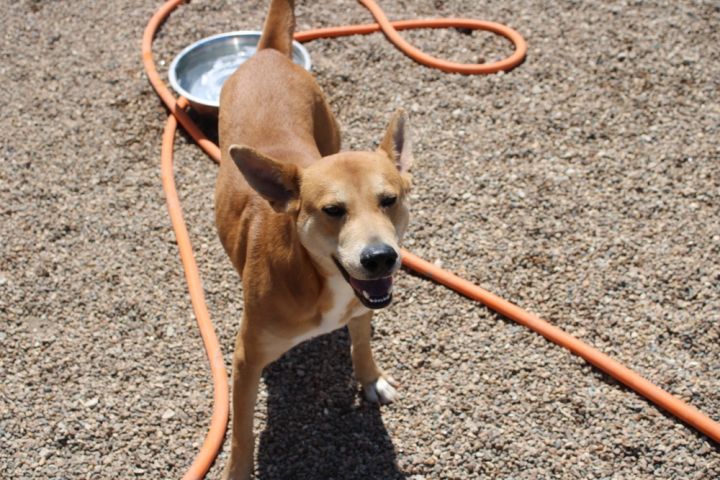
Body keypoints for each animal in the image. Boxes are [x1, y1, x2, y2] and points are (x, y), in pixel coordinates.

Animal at [215, 0, 410, 476]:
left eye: (389, 200)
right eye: (333, 211)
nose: (381, 257)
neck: (318, 278)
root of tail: (268, 52)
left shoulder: (363, 305)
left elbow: (362, 343)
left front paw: (371, 379)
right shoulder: (245, 358)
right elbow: (242, 430)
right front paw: (237, 470)